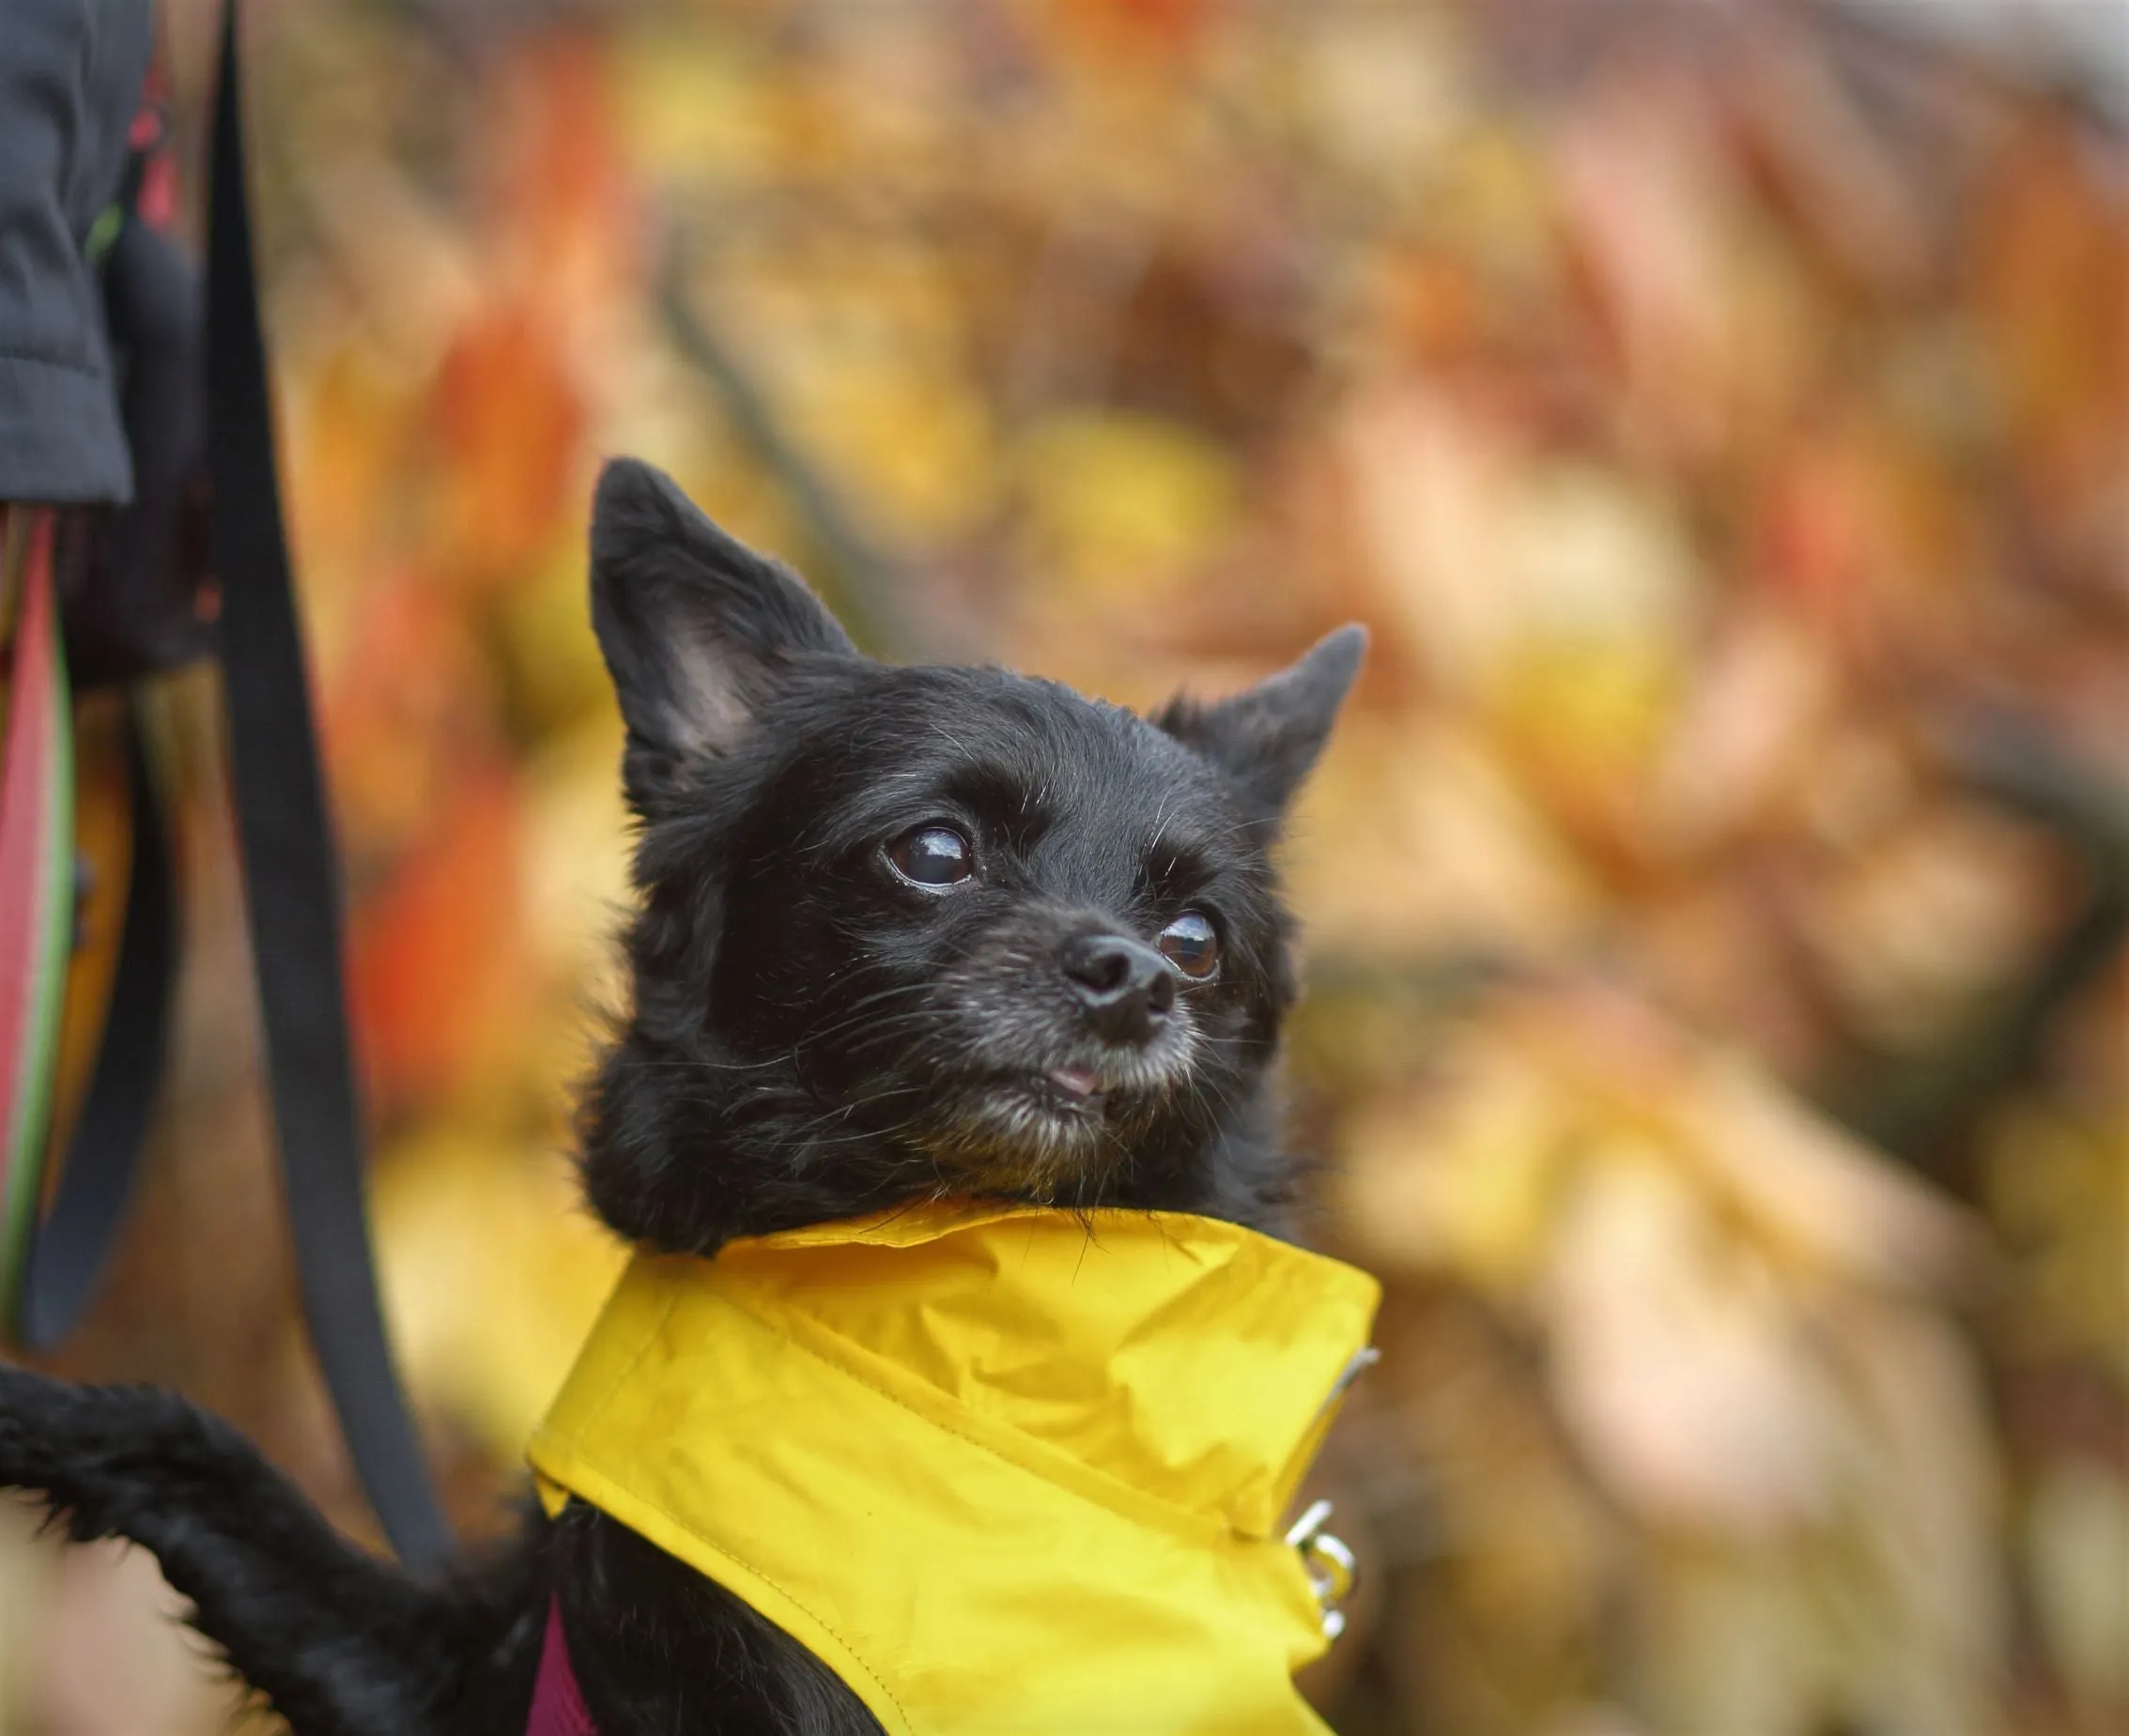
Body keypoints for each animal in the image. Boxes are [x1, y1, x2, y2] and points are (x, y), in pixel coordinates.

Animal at [0, 457, 1362, 1736]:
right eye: (933, 851)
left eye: (1196, 941)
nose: (1137, 979)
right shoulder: (454, 1677)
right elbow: (192, 1453)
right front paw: (34, 1412)